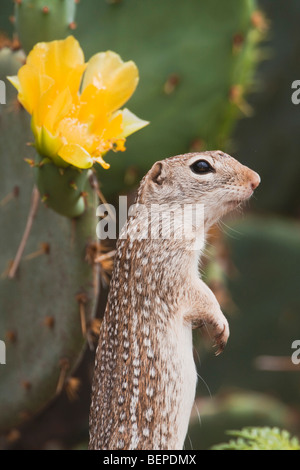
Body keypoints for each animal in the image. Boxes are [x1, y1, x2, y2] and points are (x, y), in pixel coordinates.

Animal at [88, 152, 260, 450]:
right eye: (201, 166)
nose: (256, 179)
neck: (160, 217)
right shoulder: (173, 269)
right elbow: (202, 296)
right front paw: (220, 325)